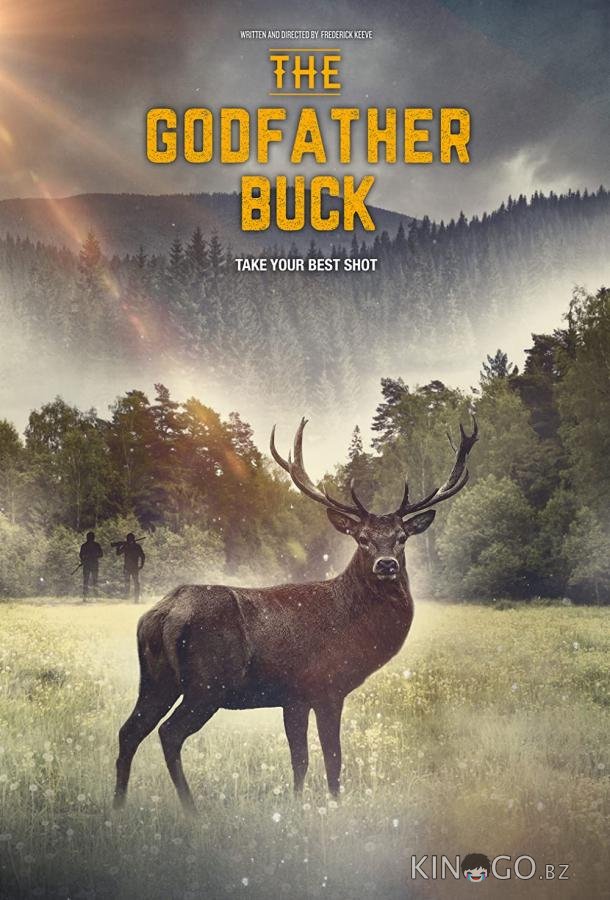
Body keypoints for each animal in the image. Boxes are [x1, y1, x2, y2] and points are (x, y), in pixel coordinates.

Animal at [113, 417, 478, 813]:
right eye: (362, 538)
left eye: (401, 537)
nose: (386, 564)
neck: (353, 628)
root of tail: (164, 613)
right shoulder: (324, 685)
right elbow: (332, 757)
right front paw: (331, 806)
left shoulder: (293, 697)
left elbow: (300, 759)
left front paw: (298, 804)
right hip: (208, 682)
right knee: (169, 733)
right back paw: (191, 810)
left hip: (156, 679)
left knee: (129, 730)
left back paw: (118, 805)